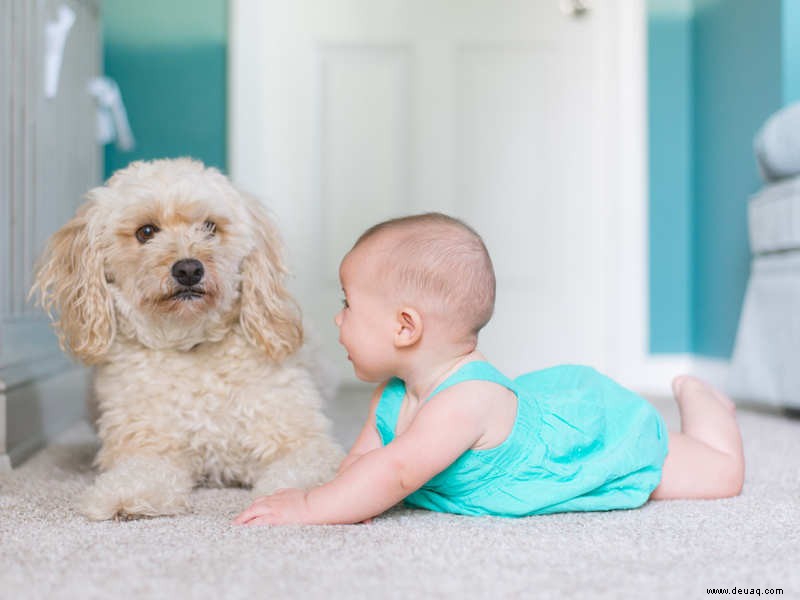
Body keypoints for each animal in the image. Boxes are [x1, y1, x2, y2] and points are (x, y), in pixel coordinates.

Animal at [32, 158, 344, 520]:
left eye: (210, 227)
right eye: (146, 232)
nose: (188, 270)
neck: (191, 344)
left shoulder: (301, 441)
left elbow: (302, 471)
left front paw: (290, 499)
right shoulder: (148, 446)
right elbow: (140, 473)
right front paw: (126, 496)